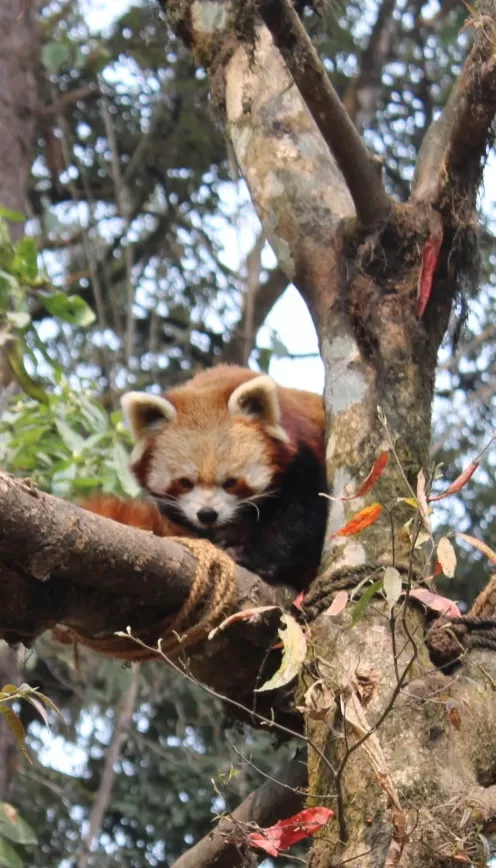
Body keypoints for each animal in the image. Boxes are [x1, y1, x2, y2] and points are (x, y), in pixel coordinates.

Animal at [93, 362, 328, 592]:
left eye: (231, 482)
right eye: (185, 483)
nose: (207, 514)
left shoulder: (303, 458)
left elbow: (303, 518)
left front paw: (252, 556)